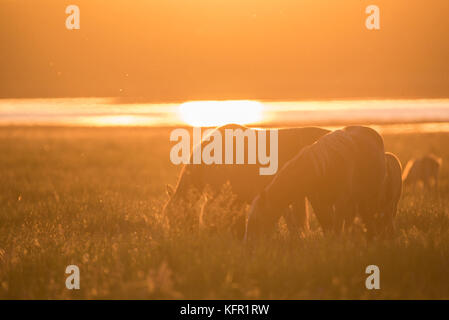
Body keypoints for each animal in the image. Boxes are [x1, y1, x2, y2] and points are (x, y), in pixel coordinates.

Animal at [245, 125, 384, 240]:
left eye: (257, 219)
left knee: (370, 217)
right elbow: (327, 224)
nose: (248, 242)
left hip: (370, 196)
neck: (325, 167)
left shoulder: (341, 200)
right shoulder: (319, 201)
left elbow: (337, 226)